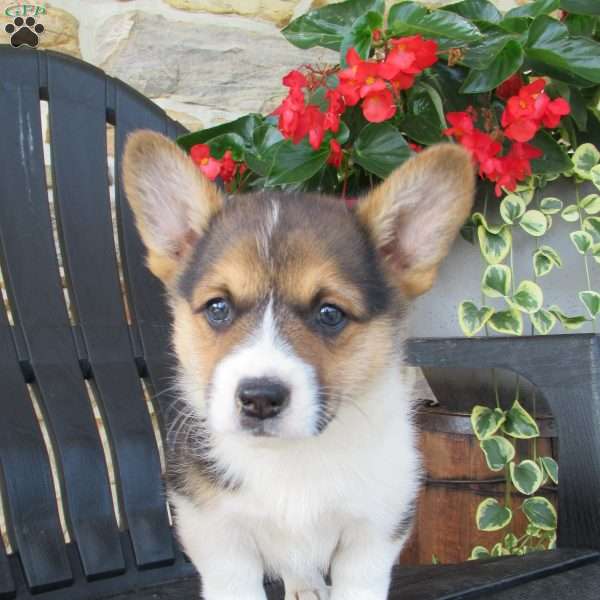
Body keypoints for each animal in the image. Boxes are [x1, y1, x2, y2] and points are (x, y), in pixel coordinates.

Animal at [124, 132, 476, 600]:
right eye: (218, 308)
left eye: (330, 314)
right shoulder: (217, 535)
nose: (258, 398)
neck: (289, 456)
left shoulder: (374, 533)